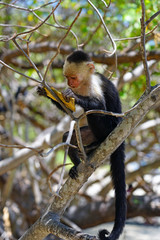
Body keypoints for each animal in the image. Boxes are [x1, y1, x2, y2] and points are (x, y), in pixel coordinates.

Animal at [37, 50, 126, 240]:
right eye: (66, 77)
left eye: (73, 77)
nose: (69, 83)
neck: (85, 82)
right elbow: (68, 108)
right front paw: (47, 92)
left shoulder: (94, 84)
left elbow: (98, 105)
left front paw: (75, 96)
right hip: (87, 134)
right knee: (68, 136)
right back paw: (77, 160)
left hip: (110, 127)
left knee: (95, 115)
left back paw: (99, 142)